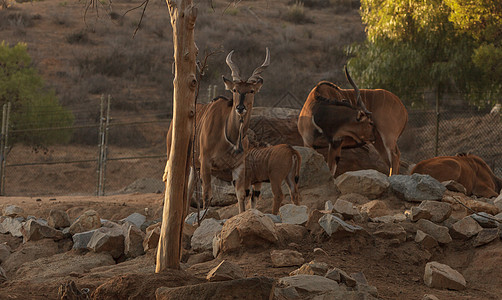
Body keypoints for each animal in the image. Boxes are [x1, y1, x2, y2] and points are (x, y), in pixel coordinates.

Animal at [163, 48, 268, 213]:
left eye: (251, 90)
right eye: (235, 90)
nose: (240, 107)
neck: (230, 137)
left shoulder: (238, 166)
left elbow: (241, 196)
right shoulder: (206, 162)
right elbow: (207, 196)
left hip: (193, 166)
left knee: (188, 192)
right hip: (177, 159)